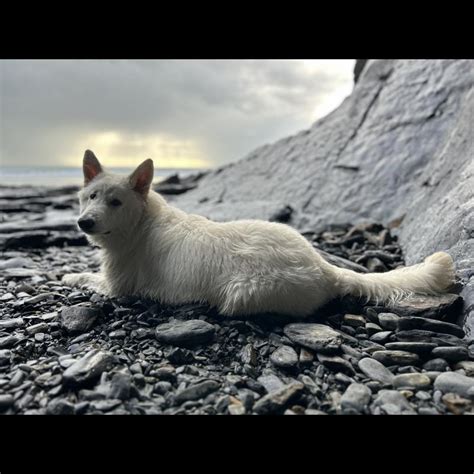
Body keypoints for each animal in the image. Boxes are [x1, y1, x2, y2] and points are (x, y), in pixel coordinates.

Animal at [62, 150, 456, 316]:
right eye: (91, 196)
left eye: (115, 201)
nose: (84, 223)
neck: (141, 221)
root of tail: (322, 268)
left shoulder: (116, 286)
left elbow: (85, 276)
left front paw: (67, 275)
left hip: (241, 294)